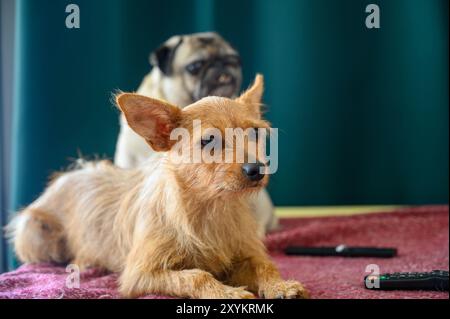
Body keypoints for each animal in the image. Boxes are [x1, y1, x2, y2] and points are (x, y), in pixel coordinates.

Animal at [6, 75, 310, 300]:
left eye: (256, 133)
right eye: (209, 140)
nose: (256, 170)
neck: (210, 208)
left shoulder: (245, 253)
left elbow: (264, 265)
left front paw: (280, 286)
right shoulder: (140, 274)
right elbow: (197, 275)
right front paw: (228, 293)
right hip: (36, 234)